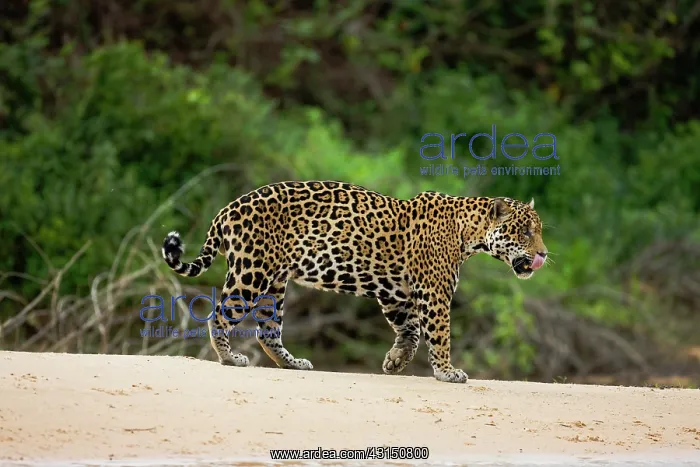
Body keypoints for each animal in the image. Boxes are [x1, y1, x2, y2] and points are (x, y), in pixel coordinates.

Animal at [161, 180, 548, 383]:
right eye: (525, 232)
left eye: (538, 230)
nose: (544, 254)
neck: (469, 233)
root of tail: (227, 208)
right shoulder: (434, 293)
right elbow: (439, 334)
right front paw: (447, 372)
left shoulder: (396, 295)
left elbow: (410, 332)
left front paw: (394, 362)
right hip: (251, 271)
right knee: (220, 314)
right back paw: (228, 358)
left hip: (275, 282)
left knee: (267, 331)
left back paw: (293, 363)